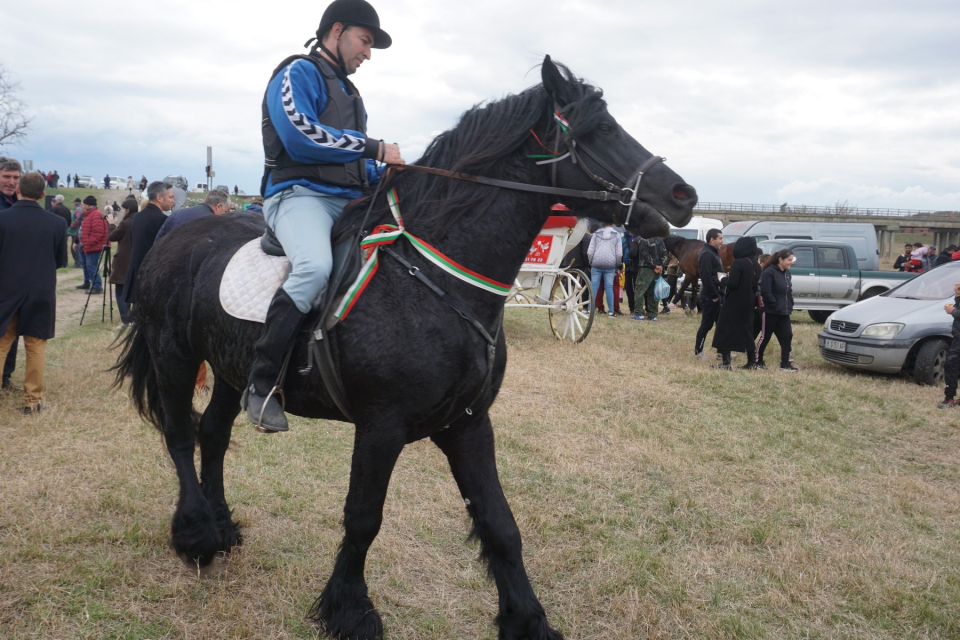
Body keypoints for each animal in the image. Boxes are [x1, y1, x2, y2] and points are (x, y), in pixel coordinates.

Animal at [112, 57, 696, 636]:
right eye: (601, 130)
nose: (683, 195)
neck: (433, 276)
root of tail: (174, 235)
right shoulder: (381, 426)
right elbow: (363, 518)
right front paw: (350, 610)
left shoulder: (468, 423)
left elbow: (501, 524)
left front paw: (527, 619)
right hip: (175, 356)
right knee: (179, 436)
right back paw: (196, 534)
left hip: (231, 370)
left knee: (212, 435)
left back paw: (222, 526)